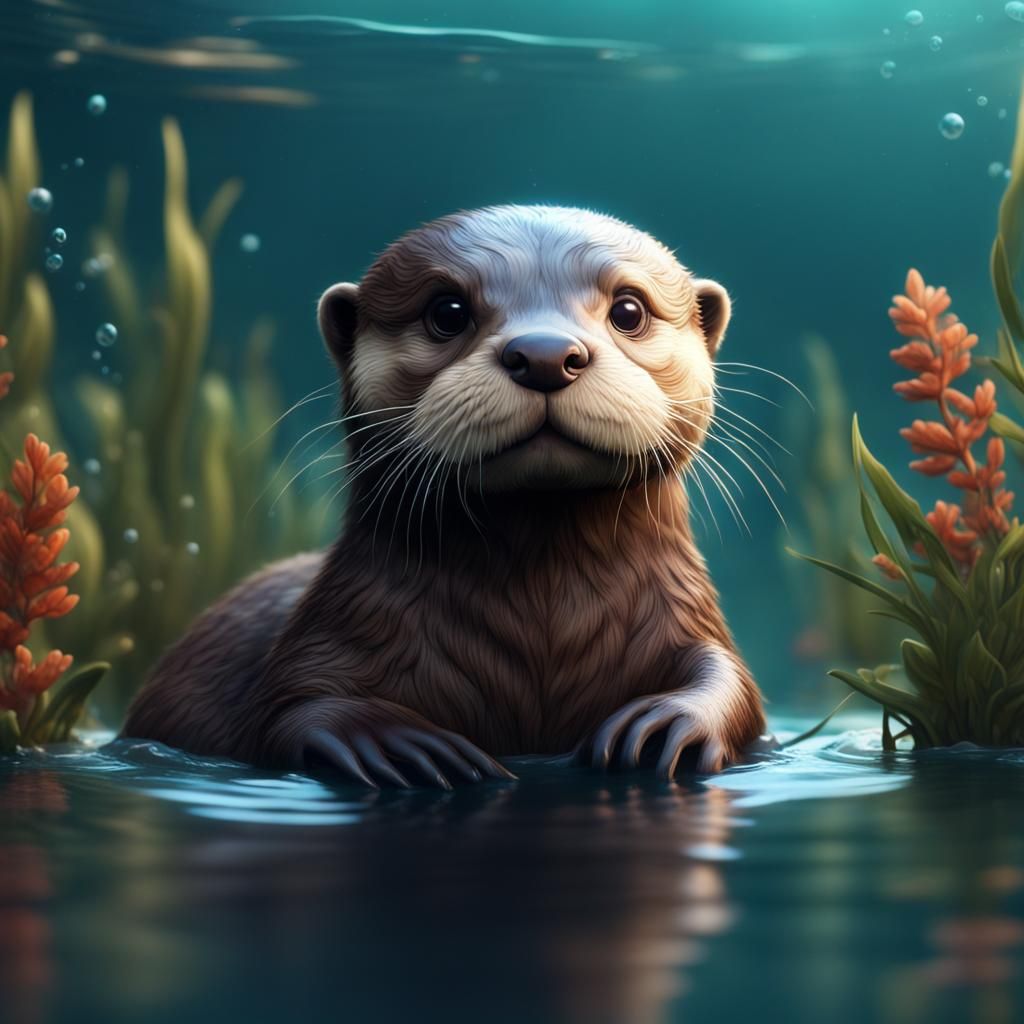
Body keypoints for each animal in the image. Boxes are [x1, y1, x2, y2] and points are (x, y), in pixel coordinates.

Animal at [123, 205, 766, 787]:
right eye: (447, 311)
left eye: (629, 309)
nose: (545, 354)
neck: (544, 630)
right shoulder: (332, 626)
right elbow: (287, 708)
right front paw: (400, 742)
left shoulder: (685, 613)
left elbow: (732, 679)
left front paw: (670, 720)